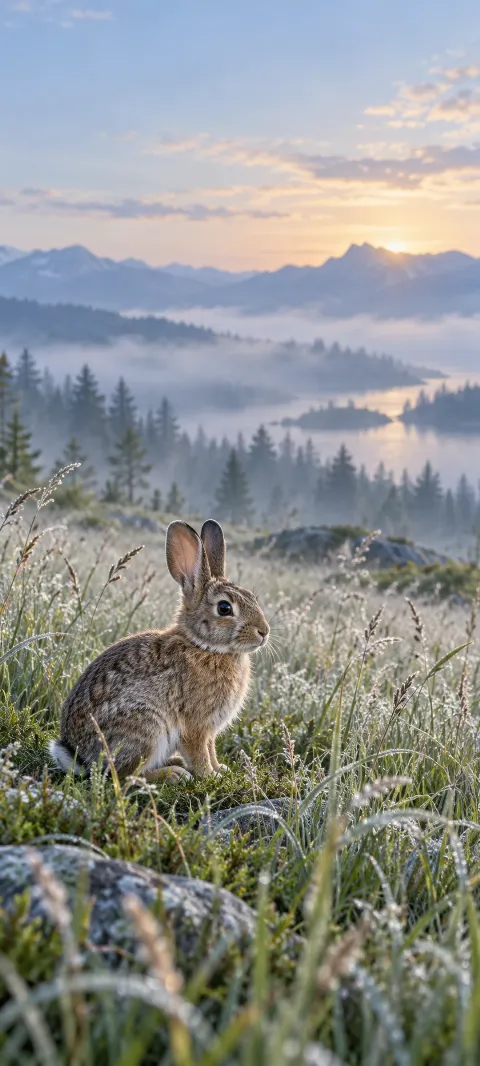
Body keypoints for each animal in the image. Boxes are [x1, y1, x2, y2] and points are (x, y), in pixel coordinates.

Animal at [48, 519, 269, 781]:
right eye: (224, 608)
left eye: (252, 597)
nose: (264, 632)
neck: (205, 646)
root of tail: (81, 758)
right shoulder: (195, 725)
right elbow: (199, 752)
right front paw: (210, 776)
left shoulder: (210, 730)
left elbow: (211, 749)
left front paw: (220, 769)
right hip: (147, 727)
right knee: (124, 775)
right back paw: (173, 774)